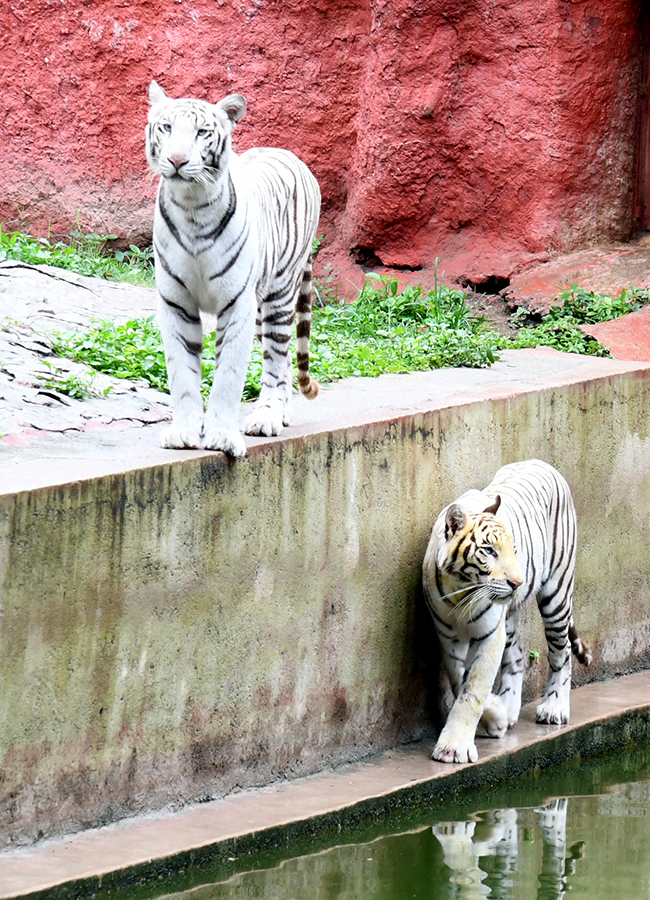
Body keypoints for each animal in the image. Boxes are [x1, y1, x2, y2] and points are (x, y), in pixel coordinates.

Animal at [145, 80, 321, 457]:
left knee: (276, 358)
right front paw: (183, 433)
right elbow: (181, 373)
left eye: (202, 132)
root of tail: (292, 155)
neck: (192, 207)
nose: (177, 160)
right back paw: (281, 413)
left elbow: (228, 375)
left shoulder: (237, 302)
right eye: (166, 128)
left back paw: (267, 417)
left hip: (279, 295)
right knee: (284, 358)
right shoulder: (175, 302)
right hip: (262, 307)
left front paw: (222, 436)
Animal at [422, 459, 592, 765]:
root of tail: (543, 462)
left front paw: (453, 747)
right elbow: (461, 681)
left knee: (560, 653)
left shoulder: (491, 634)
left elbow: (473, 689)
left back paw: (555, 707)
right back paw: (510, 708)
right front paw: (498, 717)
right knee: (517, 656)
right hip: (509, 619)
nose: (518, 582)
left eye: (513, 549)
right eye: (489, 551)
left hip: (556, 594)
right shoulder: (448, 638)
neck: (461, 592)